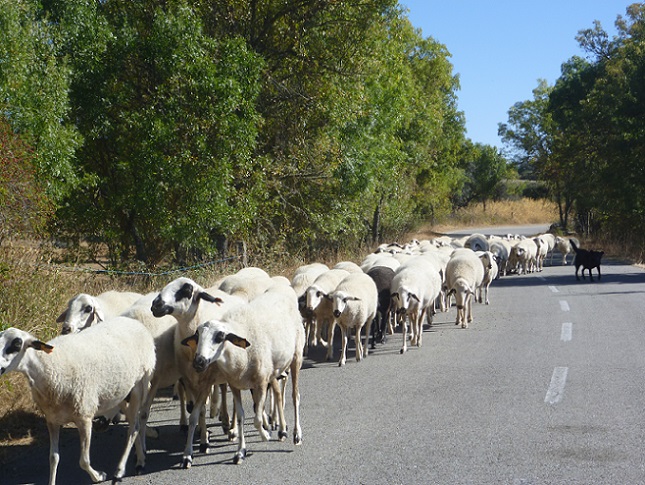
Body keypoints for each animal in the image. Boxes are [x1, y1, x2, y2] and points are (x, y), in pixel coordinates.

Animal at [0, 318, 155, 484]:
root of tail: (133, 321)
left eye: (16, 344)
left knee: (133, 429)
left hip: (140, 386)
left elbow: (84, 461)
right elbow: (53, 458)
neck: (49, 367)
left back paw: (119, 471)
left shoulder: (84, 417)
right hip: (120, 393)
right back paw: (140, 460)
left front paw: (98, 476)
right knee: (135, 424)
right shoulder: (52, 420)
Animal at [179, 284, 304, 466]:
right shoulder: (235, 385)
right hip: (274, 369)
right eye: (197, 336)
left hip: (296, 357)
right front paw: (240, 452)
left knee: (295, 396)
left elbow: (257, 419)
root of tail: (282, 287)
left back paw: (296, 434)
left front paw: (265, 435)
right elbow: (241, 417)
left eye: (220, 337)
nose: (199, 362)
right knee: (279, 393)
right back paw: (282, 430)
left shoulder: (261, 383)